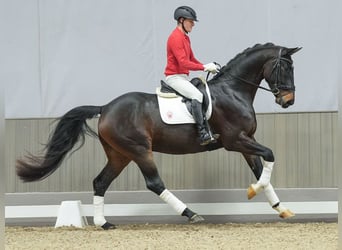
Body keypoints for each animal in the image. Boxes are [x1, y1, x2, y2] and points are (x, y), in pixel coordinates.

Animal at [16, 42, 300, 229]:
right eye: (285, 68)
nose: (288, 101)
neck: (233, 90)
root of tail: (105, 107)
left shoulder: (245, 142)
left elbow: (262, 171)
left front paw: (282, 208)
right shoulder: (236, 141)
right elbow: (270, 155)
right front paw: (254, 191)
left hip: (120, 154)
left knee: (100, 182)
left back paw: (103, 222)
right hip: (140, 150)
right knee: (154, 183)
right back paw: (191, 213)